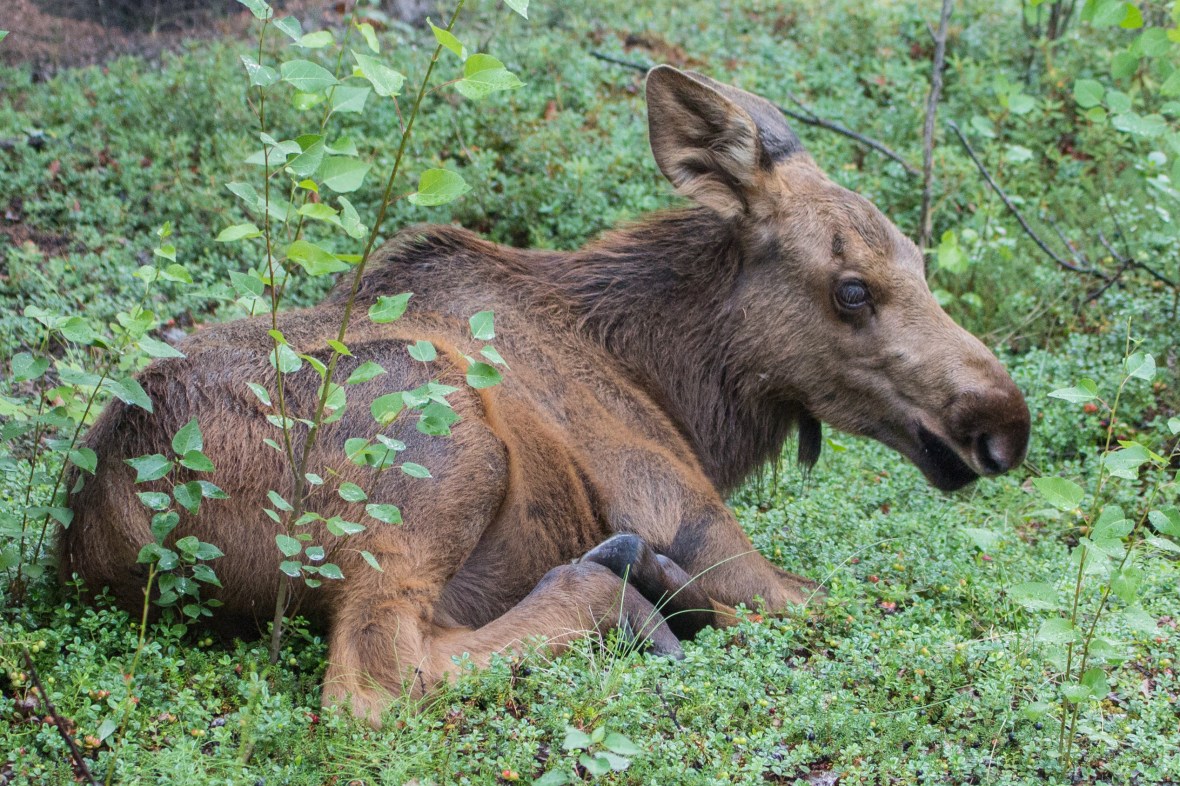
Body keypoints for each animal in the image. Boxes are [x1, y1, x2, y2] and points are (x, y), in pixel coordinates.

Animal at [60, 66, 1030, 725]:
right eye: (853, 289)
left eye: (920, 260)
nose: (1004, 425)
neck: (678, 389)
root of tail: (99, 526)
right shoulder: (692, 518)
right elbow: (865, 605)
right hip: (437, 454)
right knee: (377, 685)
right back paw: (629, 595)